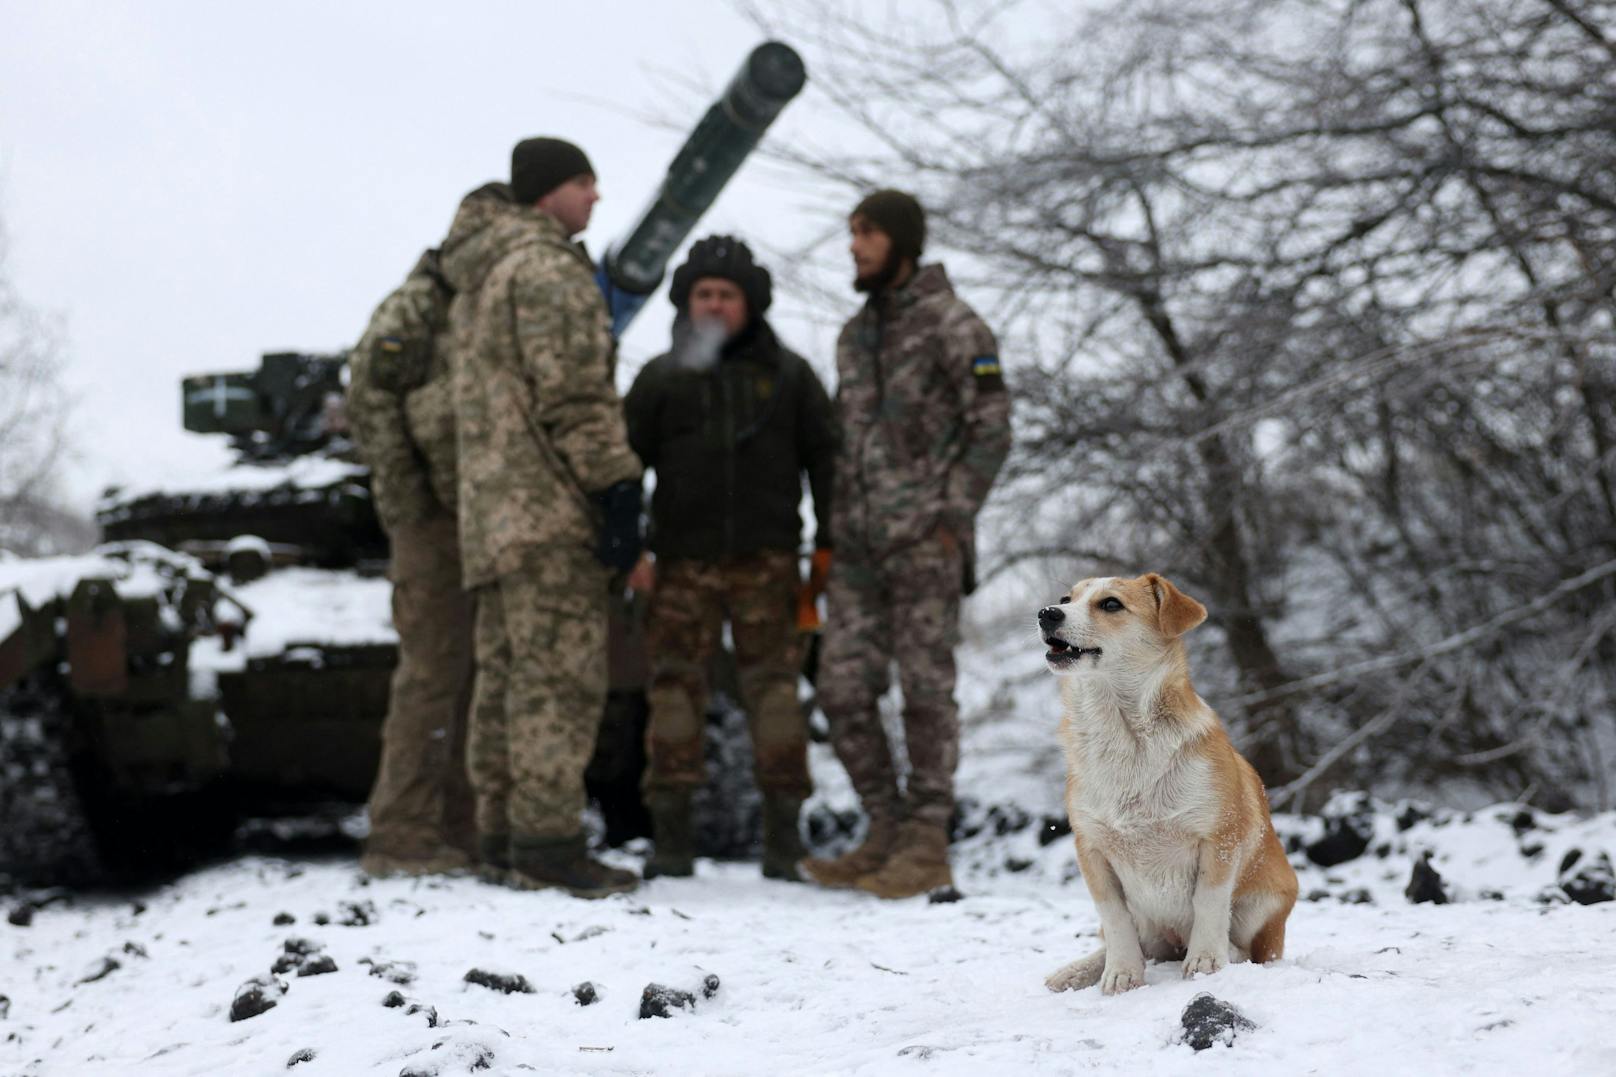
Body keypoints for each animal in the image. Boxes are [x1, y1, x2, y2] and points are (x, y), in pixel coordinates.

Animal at [1034, 569, 1299, 989]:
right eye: (1066, 598)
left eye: (1111, 604)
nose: (1046, 613)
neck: (1125, 737)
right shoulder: (1091, 848)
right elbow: (1114, 917)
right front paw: (1121, 972)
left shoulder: (1219, 838)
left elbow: (1209, 901)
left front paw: (1205, 961)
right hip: (1150, 924)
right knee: (1134, 939)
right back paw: (1076, 971)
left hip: (1268, 901)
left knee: (1250, 949)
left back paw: (1229, 954)